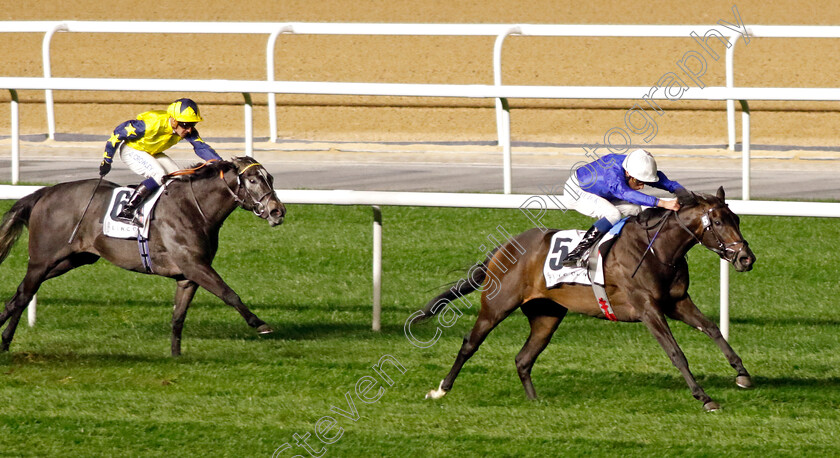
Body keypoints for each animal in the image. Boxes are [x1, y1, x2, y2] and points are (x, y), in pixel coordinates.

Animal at [0, 157, 286, 358]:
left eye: (270, 178)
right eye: (252, 180)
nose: (278, 211)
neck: (194, 208)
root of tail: (44, 193)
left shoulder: (187, 276)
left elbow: (178, 316)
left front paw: (176, 355)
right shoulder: (195, 265)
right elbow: (229, 293)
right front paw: (259, 323)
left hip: (71, 260)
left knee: (19, 295)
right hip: (43, 260)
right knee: (25, 295)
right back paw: (5, 340)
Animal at [418, 188, 756, 410]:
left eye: (737, 218)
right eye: (718, 222)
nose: (746, 259)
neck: (656, 250)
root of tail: (505, 247)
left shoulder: (676, 302)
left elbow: (712, 328)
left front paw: (742, 374)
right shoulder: (648, 309)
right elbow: (676, 353)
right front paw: (705, 398)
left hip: (547, 315)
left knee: (524, 358)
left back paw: (535, 402)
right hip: (497, 305)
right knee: (469, 344)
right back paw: (440, 390)